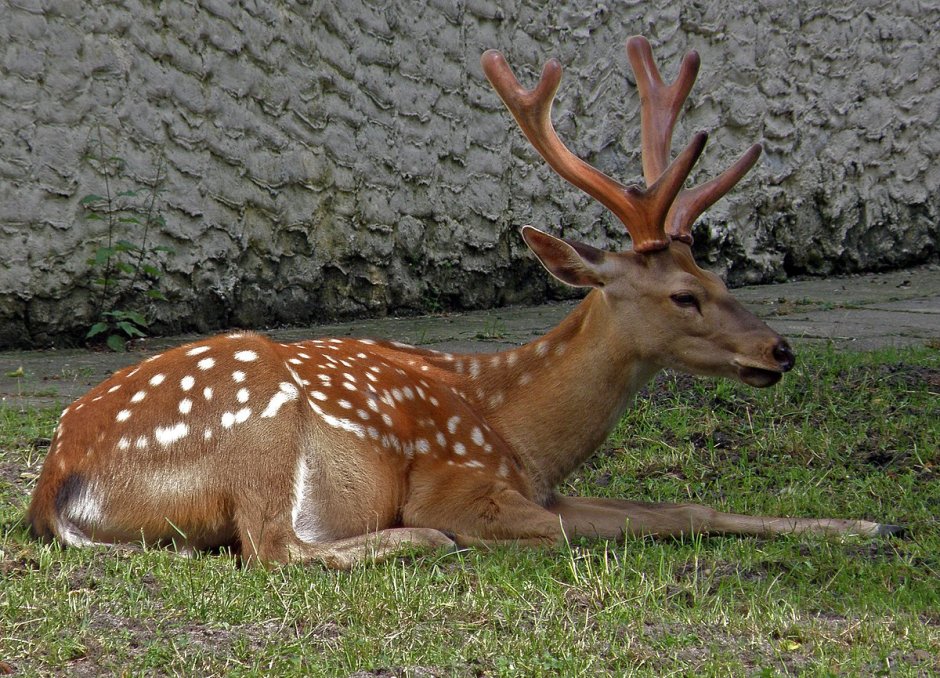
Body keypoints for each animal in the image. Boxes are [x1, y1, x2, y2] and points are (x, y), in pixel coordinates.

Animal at [26, 36, 901, 569]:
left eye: (724, 281)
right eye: (684, 296)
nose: (779, 350)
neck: (521, 434)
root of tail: (57, 486)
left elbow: (685, 507)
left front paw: (868, 525)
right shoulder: (460, 481)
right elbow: (570, 531)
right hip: (260, 425)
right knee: (274, 548)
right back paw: (417, 537)